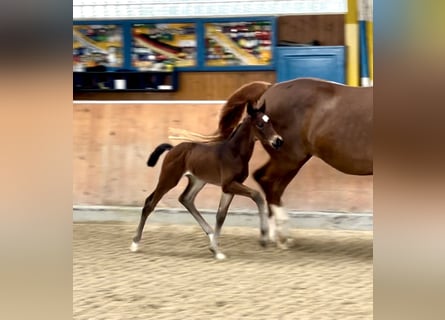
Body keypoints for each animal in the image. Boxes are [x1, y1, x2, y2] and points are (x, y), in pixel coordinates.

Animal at [130, 102, 280, 260]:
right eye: (260, 124)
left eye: (270, 122)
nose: (278, 141)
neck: (235, 153)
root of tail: (172, 149)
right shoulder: (228, 184)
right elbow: (257, 195)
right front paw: (263, 238)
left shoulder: (229, 188)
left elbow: (221, 215)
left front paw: (216, 250)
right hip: (169, 178)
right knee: (150, 203)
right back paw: (135, 244)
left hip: (198, 181)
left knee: (186, 199)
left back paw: (212, 236)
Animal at [179, 77, 372, 248]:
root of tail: (270, 87)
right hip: (289, 158)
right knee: (266, 180)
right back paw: (280, 235)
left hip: (290, 160)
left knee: (271, 184)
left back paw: (275, 234)